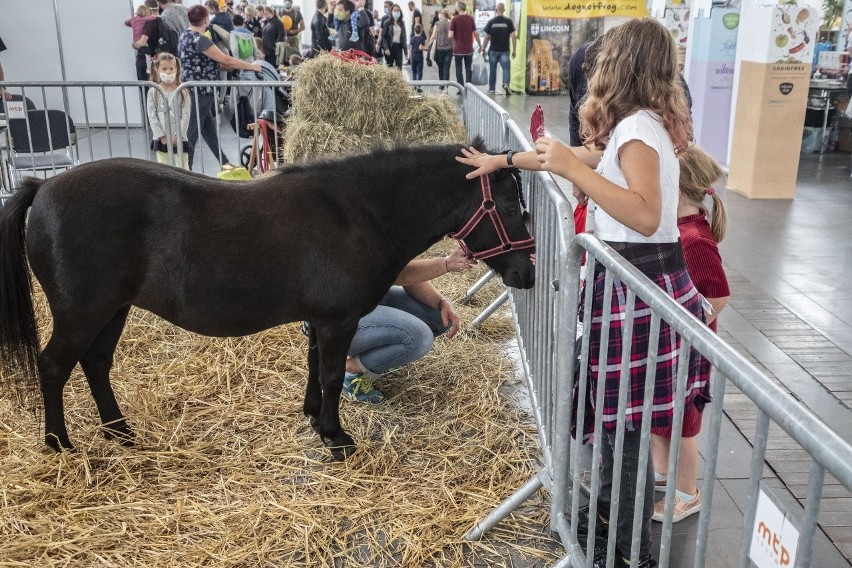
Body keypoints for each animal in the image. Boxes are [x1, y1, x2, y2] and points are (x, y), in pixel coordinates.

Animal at [0, 142, 532, 462]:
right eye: (510, 208)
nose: (524, 274)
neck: (355, 214)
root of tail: (44, 187)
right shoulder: (338, 321)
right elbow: (332, 373)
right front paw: (336, 437)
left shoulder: (323, 321)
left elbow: (316, 367)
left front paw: (314, 417)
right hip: (82, 312)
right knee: (54, 366)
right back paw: (58, 443)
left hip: (113, 310)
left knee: (95, 363)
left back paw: (119, 432)